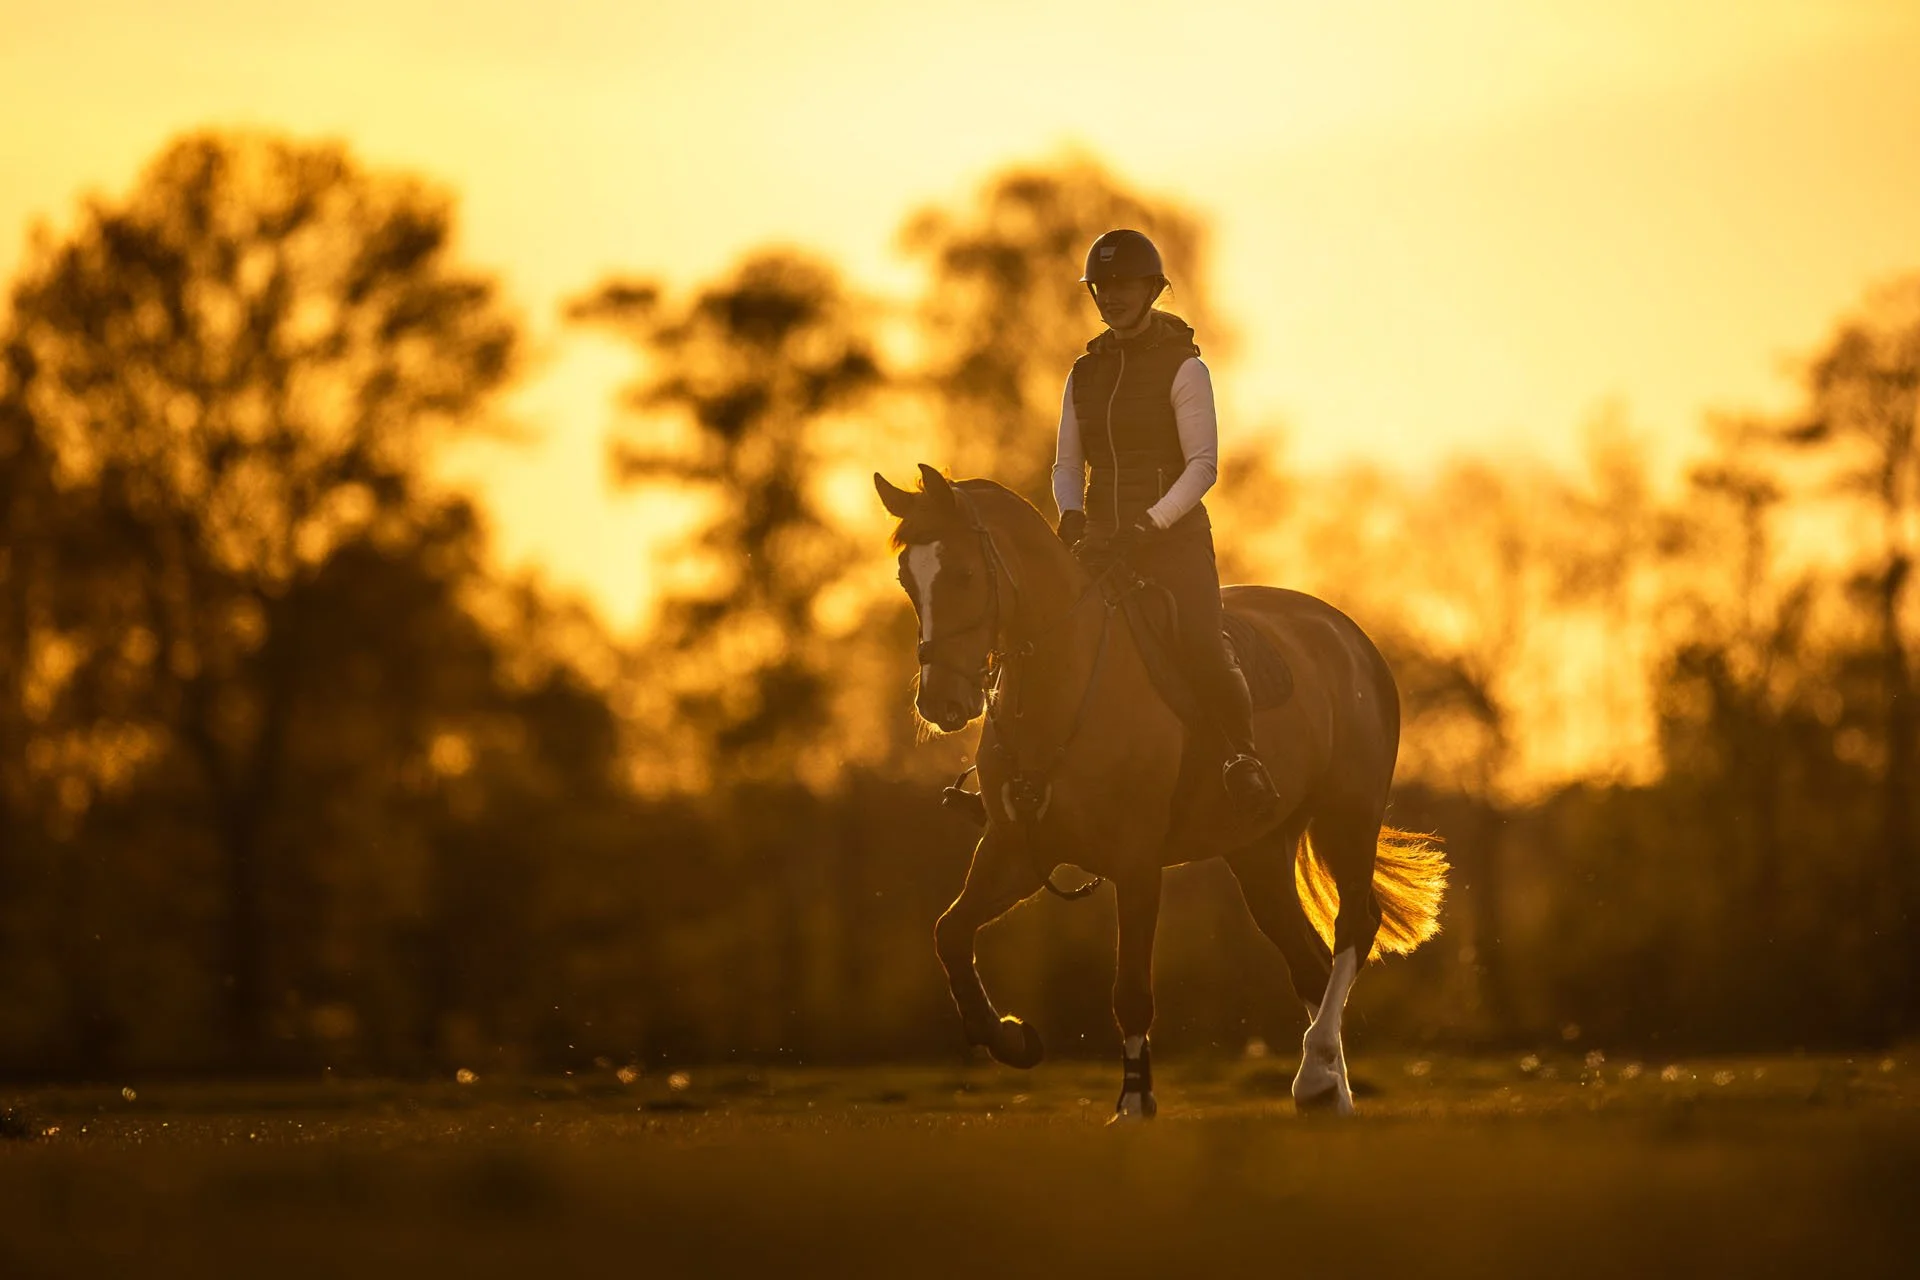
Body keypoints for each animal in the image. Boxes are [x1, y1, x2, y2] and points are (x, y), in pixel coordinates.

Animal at [876, 464, 1447, 1118]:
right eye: (907, 578)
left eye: (964, 574)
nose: (941, 702)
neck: (1065, 680)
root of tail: (1348, 636)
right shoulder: (1018, 852)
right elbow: (950, 933)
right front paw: (1012, 1039)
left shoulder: (1137, 861)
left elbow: (1130, 990)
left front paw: (1133, 1102)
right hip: (1257, 852)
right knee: (1309, 960)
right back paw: (1328, 1089)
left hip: (1345, 818)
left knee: (1354, 926)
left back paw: (1317, 1074)